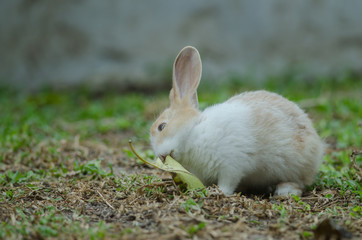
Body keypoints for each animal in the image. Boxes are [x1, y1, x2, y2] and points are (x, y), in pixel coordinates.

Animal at [148, 46, 324, 196]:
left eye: (162, 126)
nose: (161, 157)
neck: (194, 132)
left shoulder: (231, 164)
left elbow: (228, 182)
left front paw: (218, 192)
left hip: (295, 166)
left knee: (300, 182)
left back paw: (285, 191)